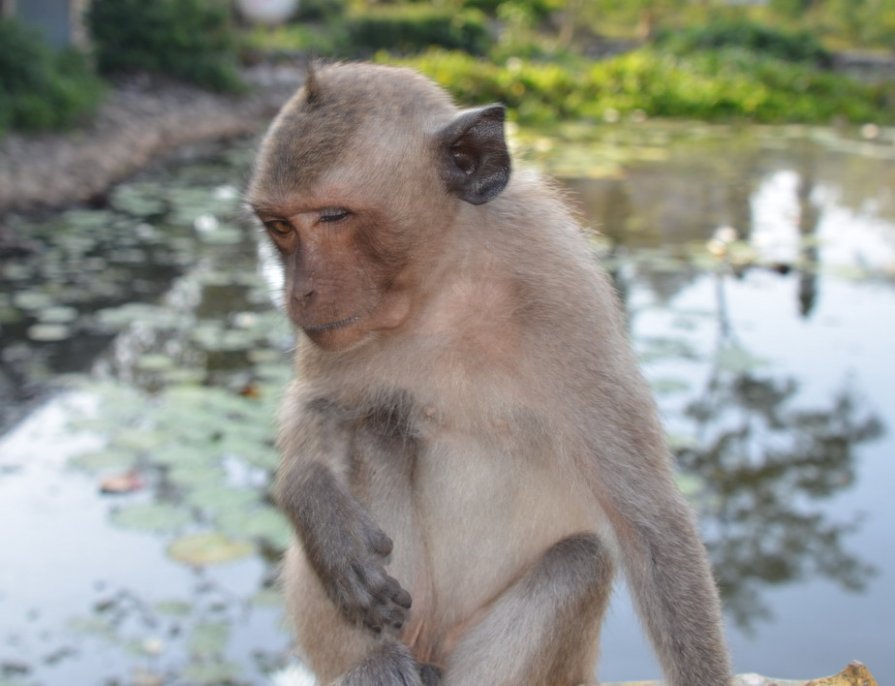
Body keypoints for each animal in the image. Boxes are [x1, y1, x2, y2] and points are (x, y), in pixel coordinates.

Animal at [245, 60, 728, 686]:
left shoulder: (565, 297)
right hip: (415, 610)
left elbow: (648, 517)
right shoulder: (340, 331)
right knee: (375, 425)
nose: (299, 293)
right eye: (281, 227)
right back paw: (378, 663)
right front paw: (316, 507)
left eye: (333, 216)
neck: (445, 286)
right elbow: (320, 405)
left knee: (580, 560)